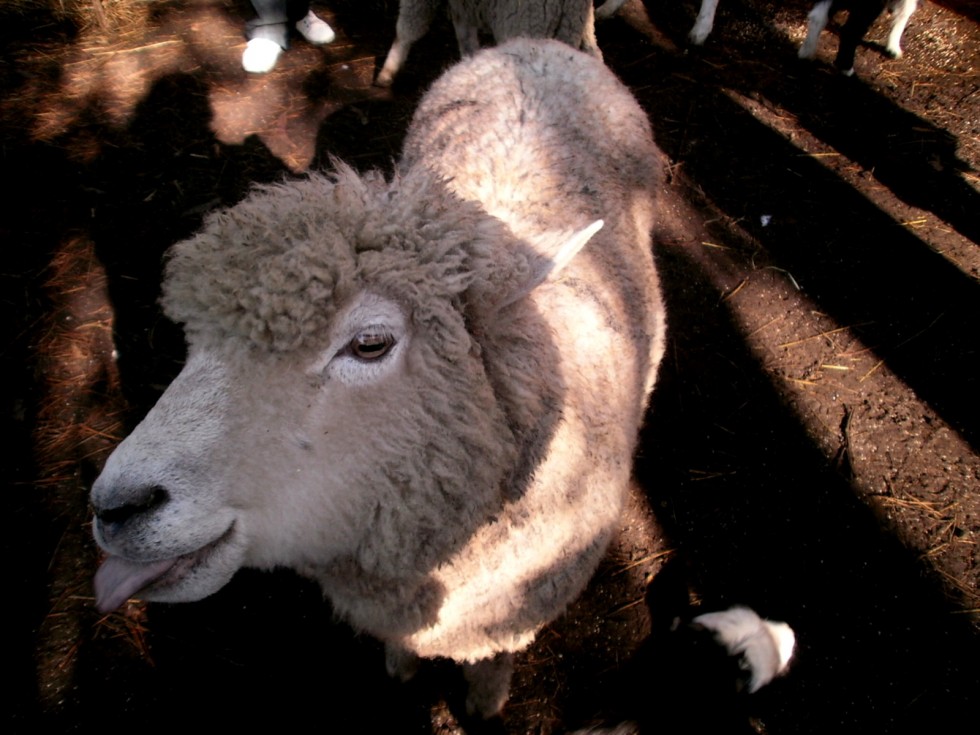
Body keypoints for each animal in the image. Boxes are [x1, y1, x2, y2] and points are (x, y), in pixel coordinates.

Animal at [90, 36, 668, 720]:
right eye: (194, 340)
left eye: (370, 344)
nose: (113, 508)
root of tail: (538, 46)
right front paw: (401, 667)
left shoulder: (515, 610)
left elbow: (495, 658)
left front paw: (487, 700)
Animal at [376, 0, 600, 87]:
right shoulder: (463, 6)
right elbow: (465, 34)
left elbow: (407, 29)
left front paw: (387, 71)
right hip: (580, 24)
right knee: (594, 54)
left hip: (527, 24)